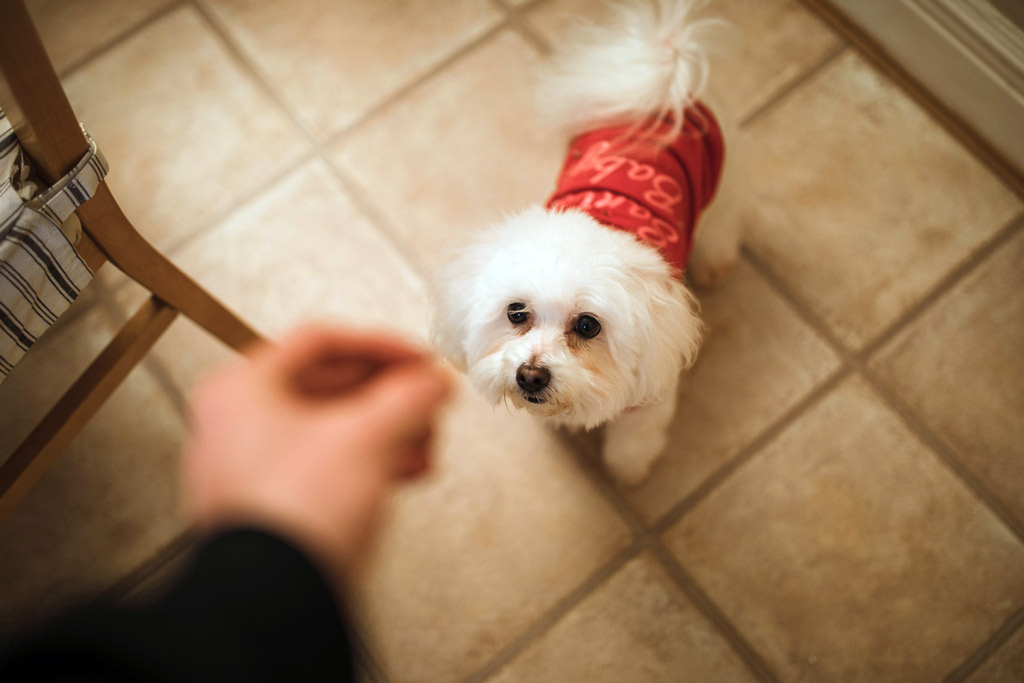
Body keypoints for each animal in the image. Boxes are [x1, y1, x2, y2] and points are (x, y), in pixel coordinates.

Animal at [434, 0, 745, 485]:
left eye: (587, 326)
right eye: (516, 312)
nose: (530, 376)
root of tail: (660, 93)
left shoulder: (649, 398)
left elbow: (634, 438)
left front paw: (627, 470)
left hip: (719, 183)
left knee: (722, 222)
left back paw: (716, 263)